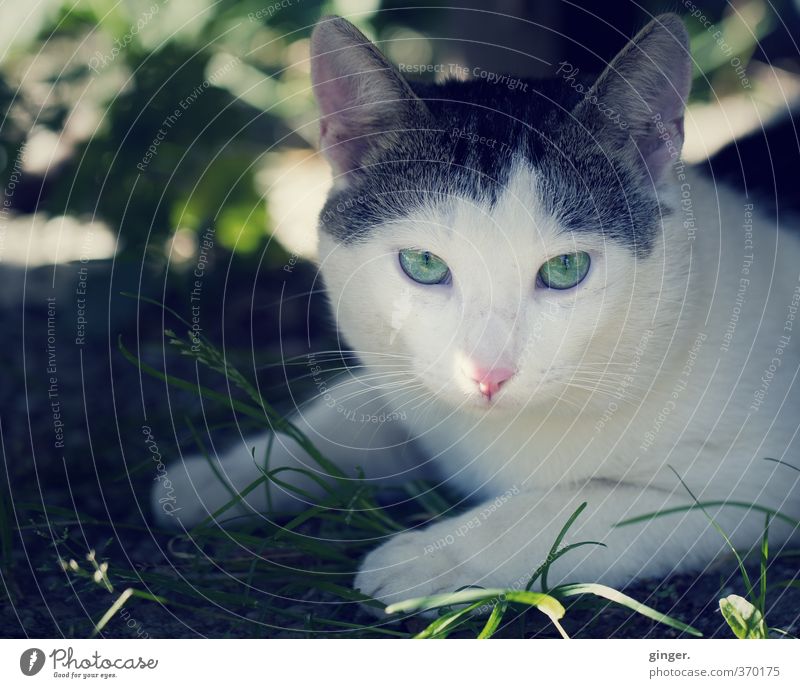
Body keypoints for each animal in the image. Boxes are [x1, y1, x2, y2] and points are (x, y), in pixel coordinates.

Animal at [153, 13, 796, 612]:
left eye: (566, 269)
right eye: (423, 264)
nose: (488, 375)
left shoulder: (758, 483)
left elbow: (564, 509)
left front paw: (427, 557)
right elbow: (339, 415)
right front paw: (208, 481)